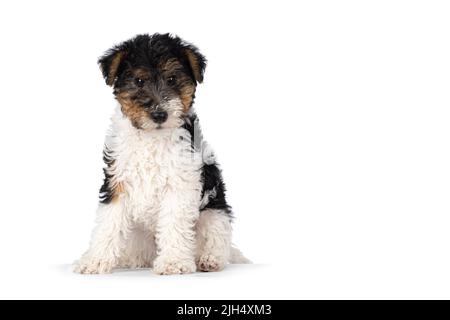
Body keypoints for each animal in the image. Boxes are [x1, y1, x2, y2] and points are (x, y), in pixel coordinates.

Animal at [74, 33, 250, 276]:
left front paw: (173, 262)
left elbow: (174, 223)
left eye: (172, 79)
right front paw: (95, 260)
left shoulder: (180, 184)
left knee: (217, 239)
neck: (152, 136)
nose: (159, 114)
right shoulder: (117, 180)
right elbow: (108, 223)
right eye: (139, 81)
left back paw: (209, 259)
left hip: (214, 212)